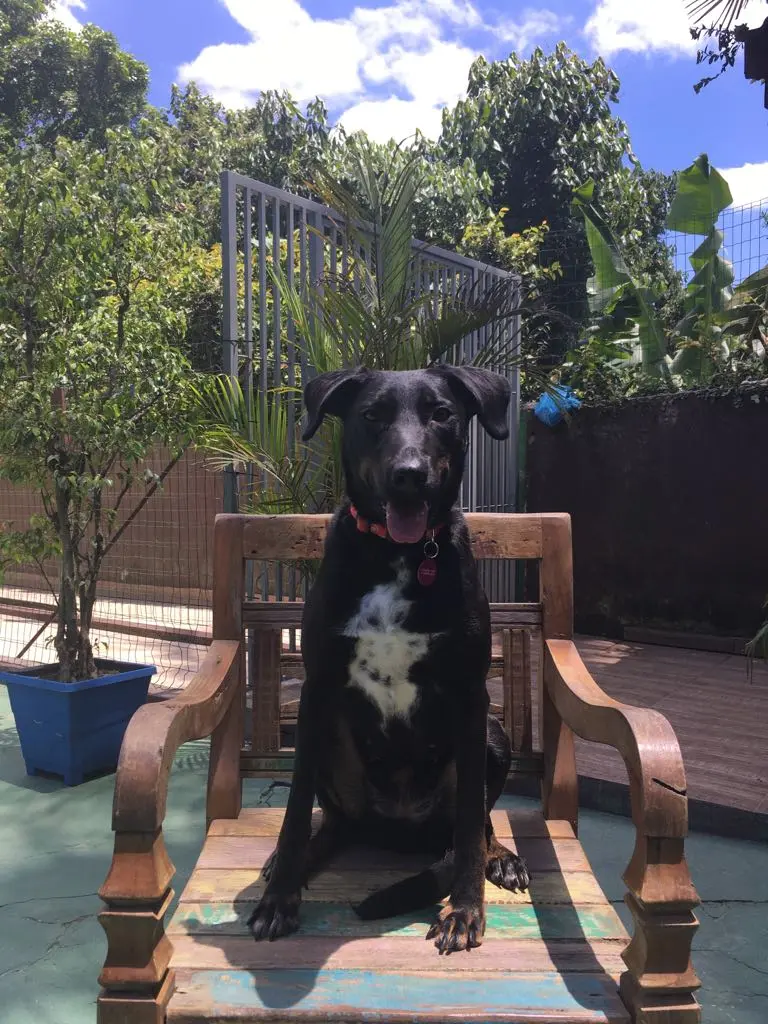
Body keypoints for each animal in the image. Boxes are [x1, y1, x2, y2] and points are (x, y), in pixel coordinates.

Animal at [247, 365, 530, 954]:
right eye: (372, 415)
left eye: (442, 414)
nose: (409, 475)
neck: (399, 553)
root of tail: (397, 829)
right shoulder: (316, 690)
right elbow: (293, 812)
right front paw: (279, 897)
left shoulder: (472, 695)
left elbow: (472, 825)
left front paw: (465, 909)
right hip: (326, 739)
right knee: (332, 822)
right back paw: (292, 859)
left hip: (495, 735)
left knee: (480, 822)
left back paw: (502, 859)